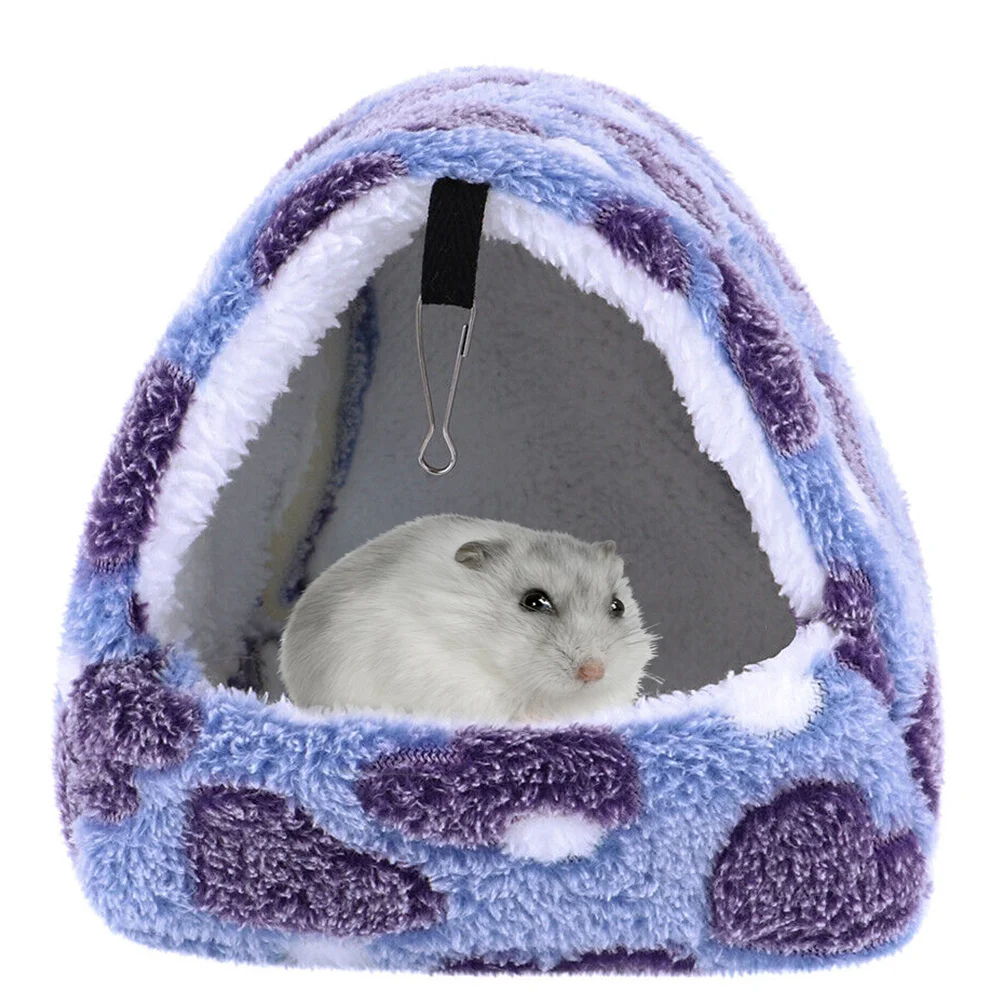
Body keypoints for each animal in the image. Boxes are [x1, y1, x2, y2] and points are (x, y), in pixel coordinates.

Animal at [278, 514, 656, 723]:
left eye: (618, 606)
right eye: (534, 601)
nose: (594, 672)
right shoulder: (446, 677)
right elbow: (508, 707)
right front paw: (539, 717)